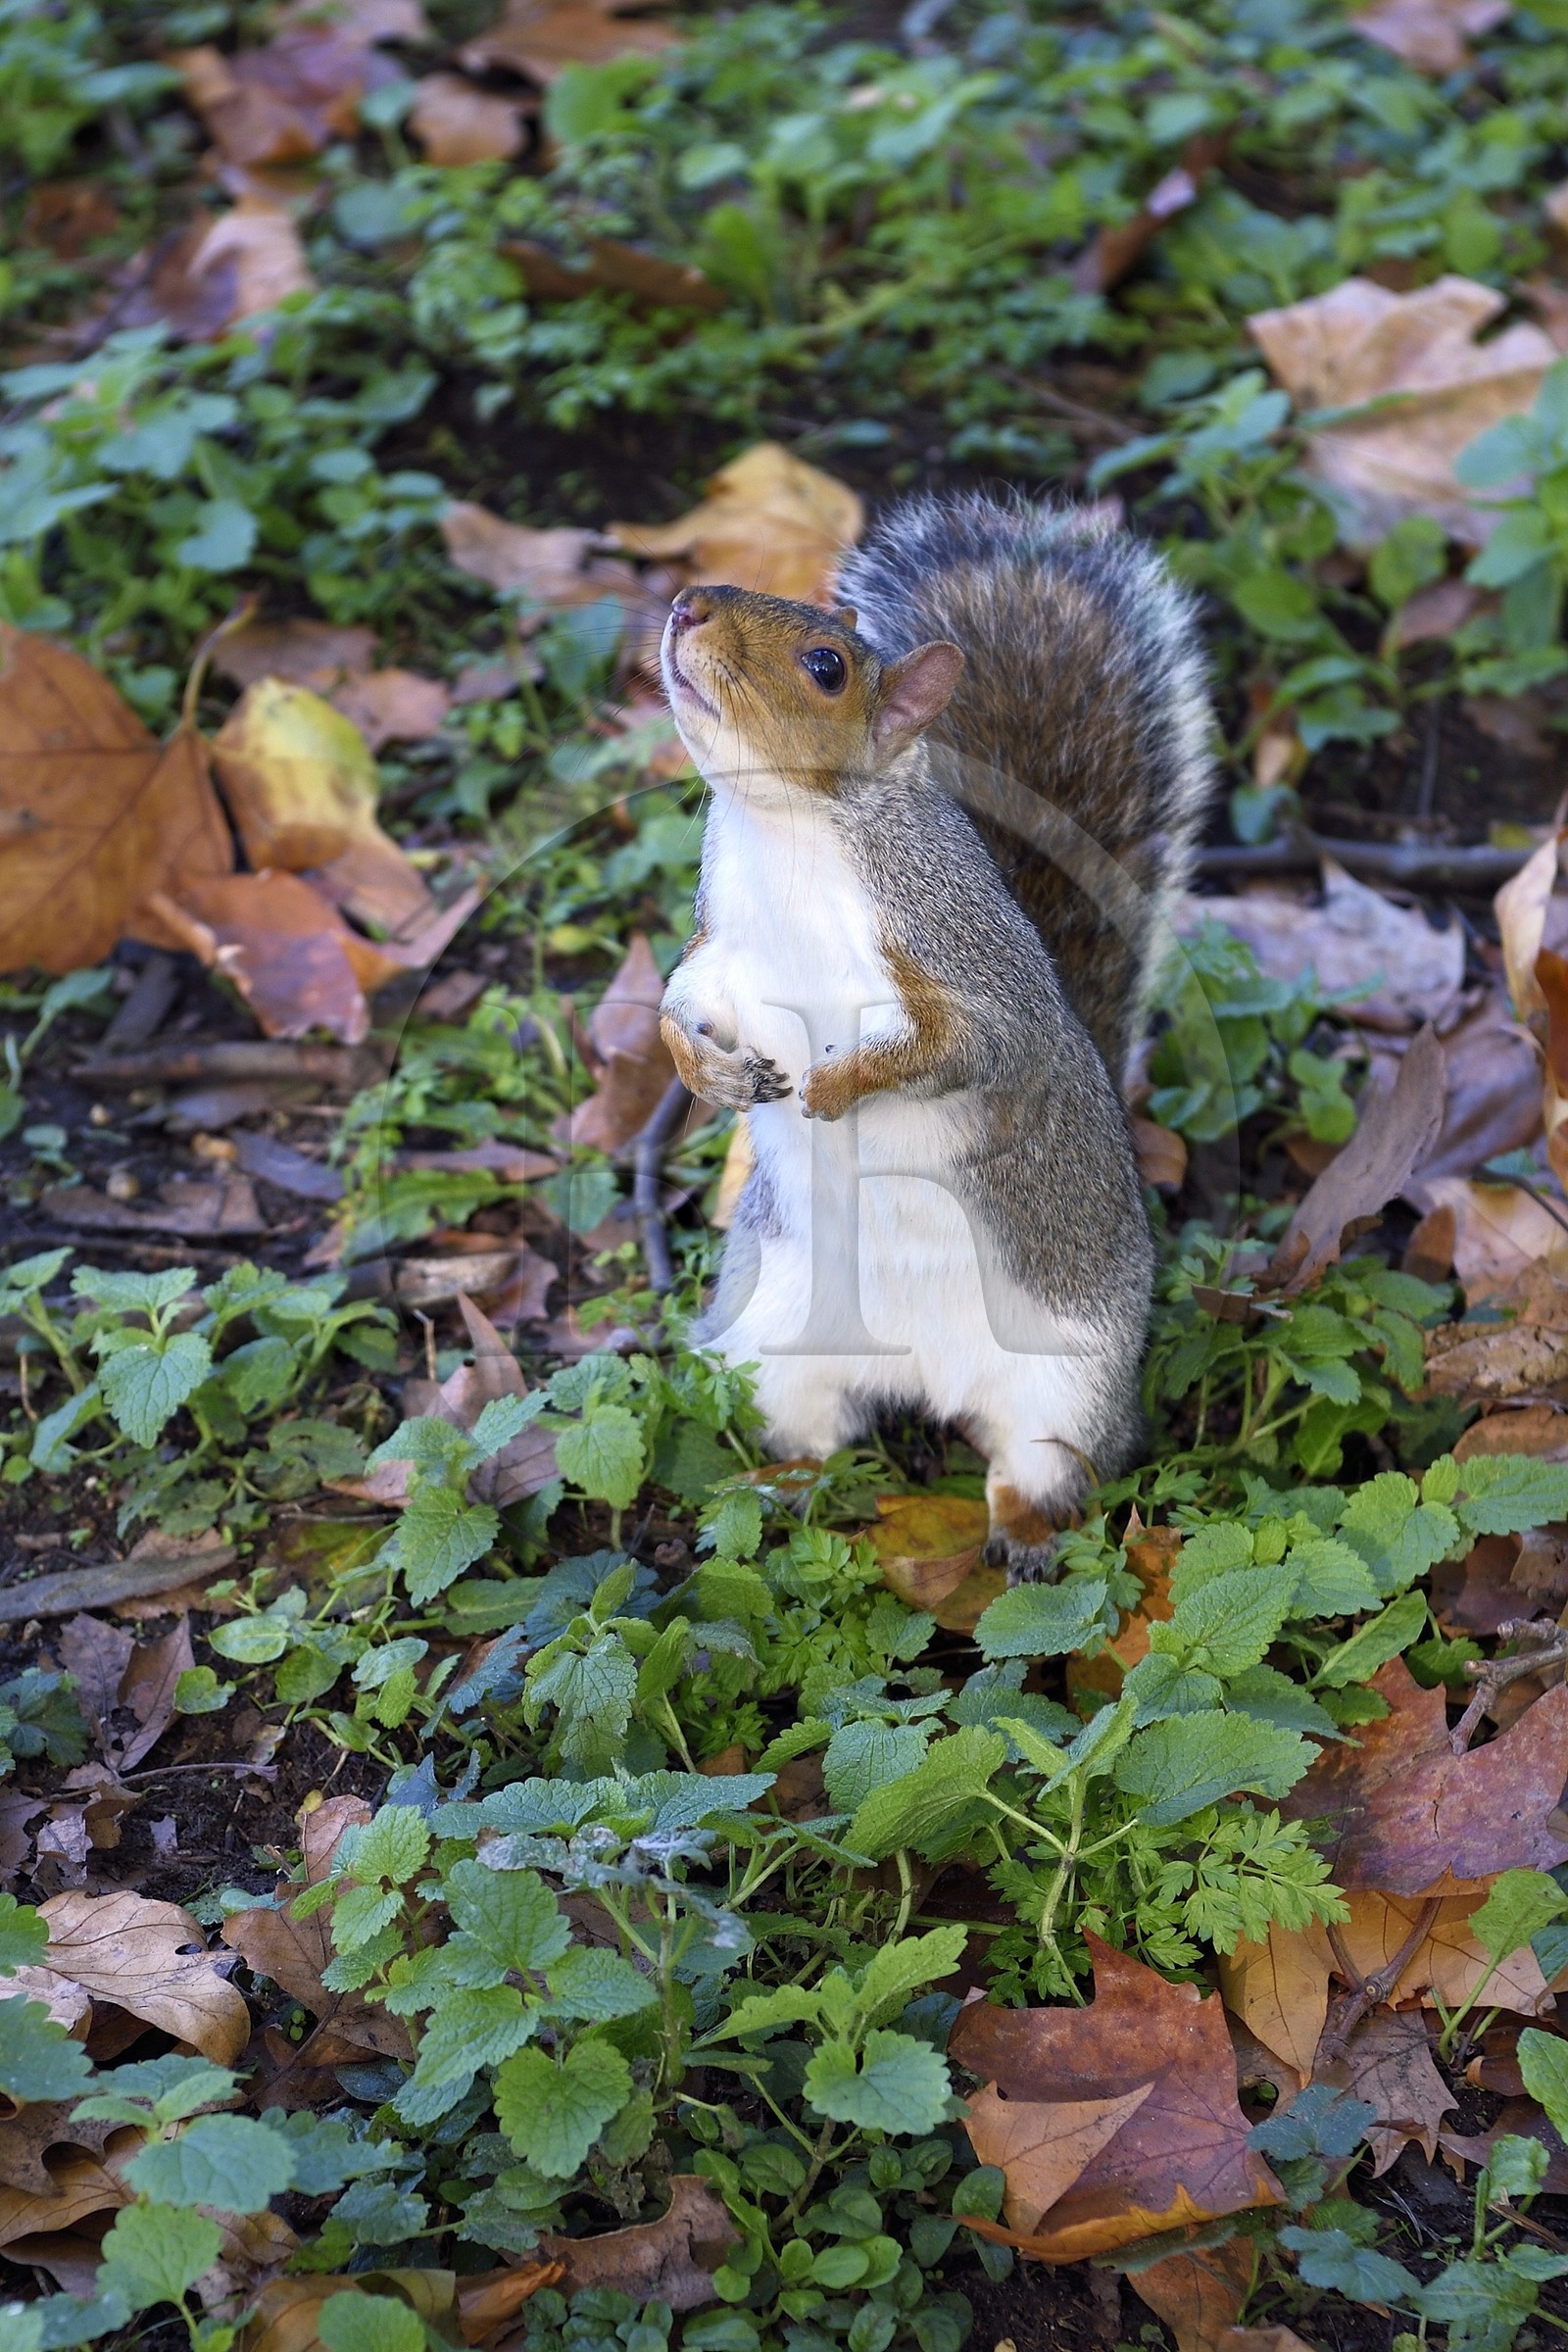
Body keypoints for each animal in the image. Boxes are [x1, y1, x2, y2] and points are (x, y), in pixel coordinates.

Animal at [657, 491, 1215, 1580]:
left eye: (827, 665)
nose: (686, 604)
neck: (785, 833)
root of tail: (922, 1378)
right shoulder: (720, 958)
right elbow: (675, 1006)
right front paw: (711, 1075)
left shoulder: (960, 968)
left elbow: (961, 1051)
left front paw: (837, 1089)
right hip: (772, 1342)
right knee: (815, 1438)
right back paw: (774, 1490)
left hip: (1065, 1381)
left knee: (1039, 1468)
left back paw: (1026, 1539)